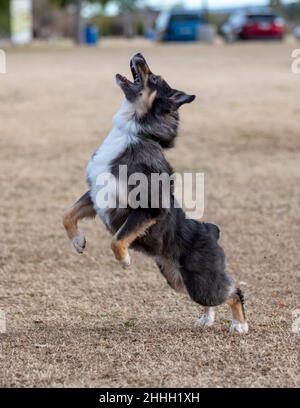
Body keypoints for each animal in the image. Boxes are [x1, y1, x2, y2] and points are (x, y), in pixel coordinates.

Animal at [62, 52, 248, 334]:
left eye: (155, 78)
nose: (139, 54)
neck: (135, 133)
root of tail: (211, 230)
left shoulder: (147, 207)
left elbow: (117, 239)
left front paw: (125, 260)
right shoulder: (95, 194)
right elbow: (67, 215)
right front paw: (78, 242)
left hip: (202, 282)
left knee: (233, 292)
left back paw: (239, 325)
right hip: (178, 279)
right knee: (209, 300)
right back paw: (206, 319)